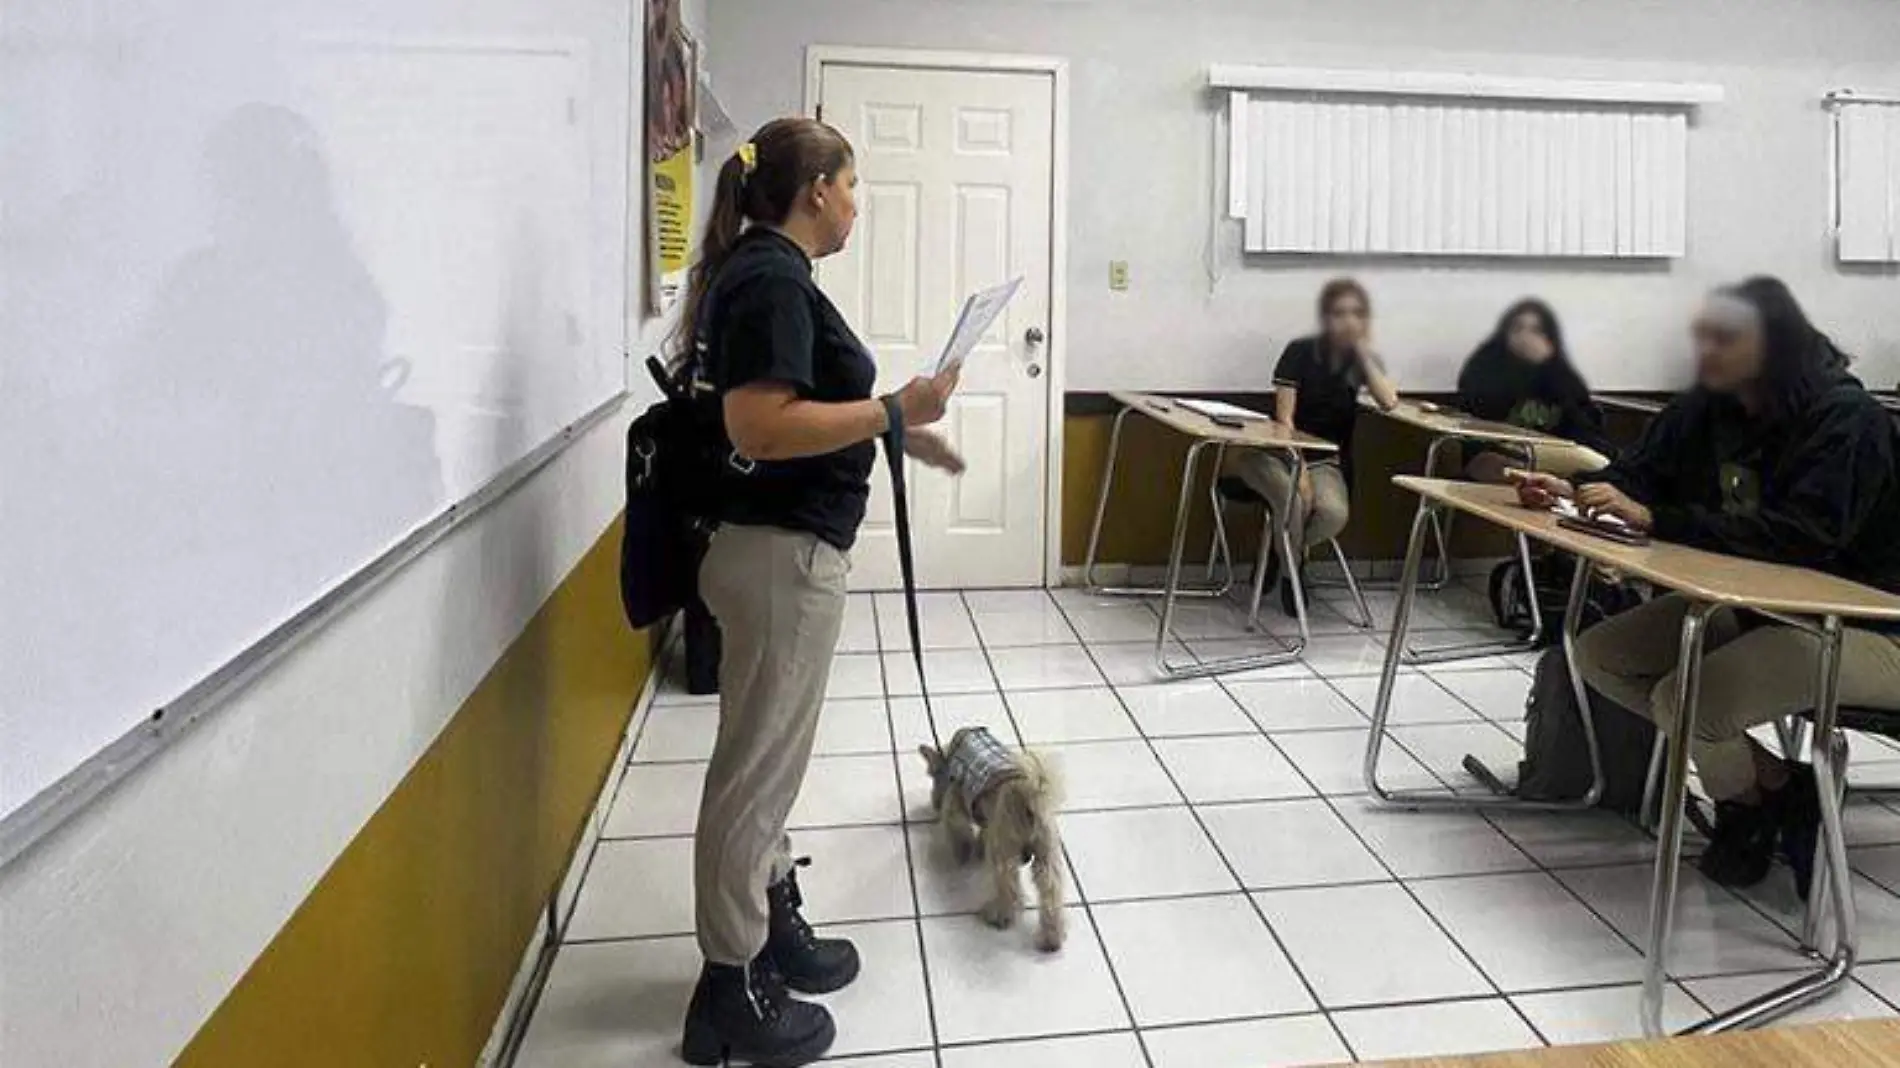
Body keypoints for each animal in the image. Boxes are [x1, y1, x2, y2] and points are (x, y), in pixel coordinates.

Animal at [919, 722, 1071, 946]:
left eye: (931, 775)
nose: (935, 803)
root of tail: (1027, 792)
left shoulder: (955, 807)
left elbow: (961, 836)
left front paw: (963, 856)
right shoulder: (987, 819)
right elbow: (982, 833)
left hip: (1004, 852)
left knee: (1011, 890)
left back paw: (997, 916)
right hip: (1046, 853)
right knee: (1051, 892)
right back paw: (1052, 938)